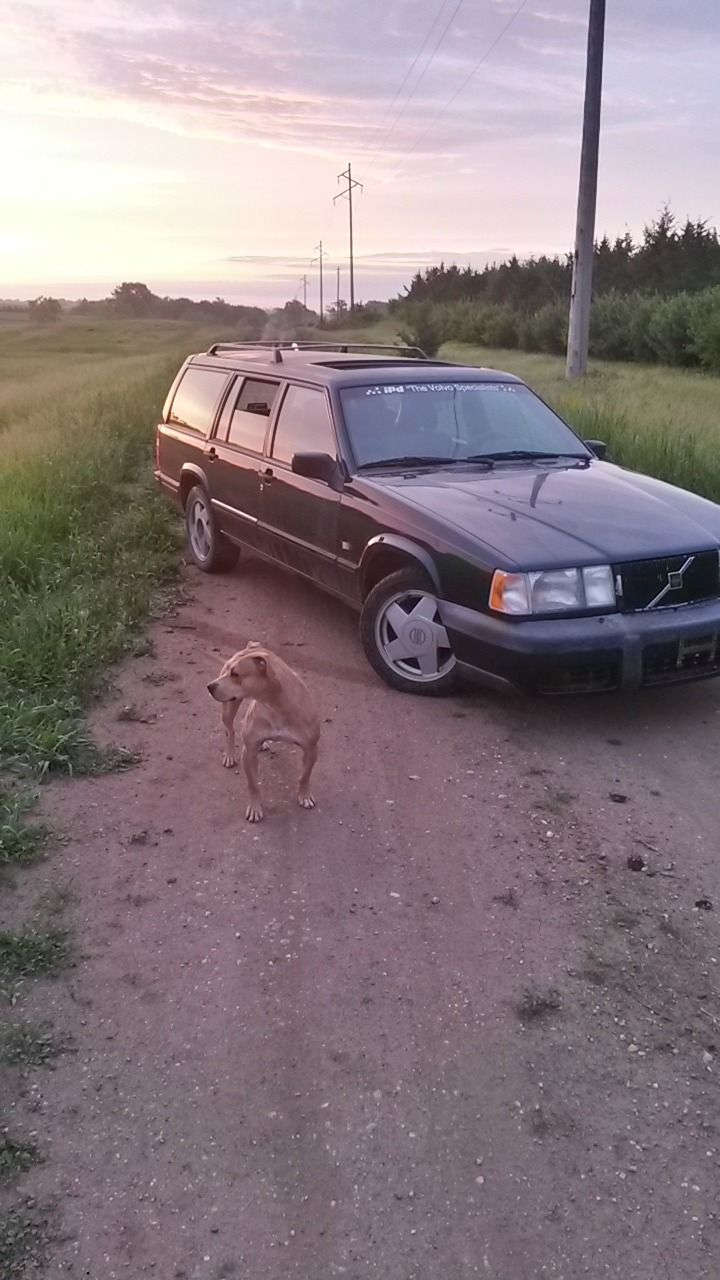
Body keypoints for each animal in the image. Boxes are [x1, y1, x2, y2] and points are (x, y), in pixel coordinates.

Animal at [207, 645, 319, 824]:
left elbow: (305, 775)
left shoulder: (312, 749)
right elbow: (253, 784)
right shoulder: (249, 751)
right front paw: (255, 808)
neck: (275, 704)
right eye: (229, 670)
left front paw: (304, 796)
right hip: (228, 709)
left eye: (235, 674)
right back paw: (230, 755)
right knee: (229, 730)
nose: (209, 686)